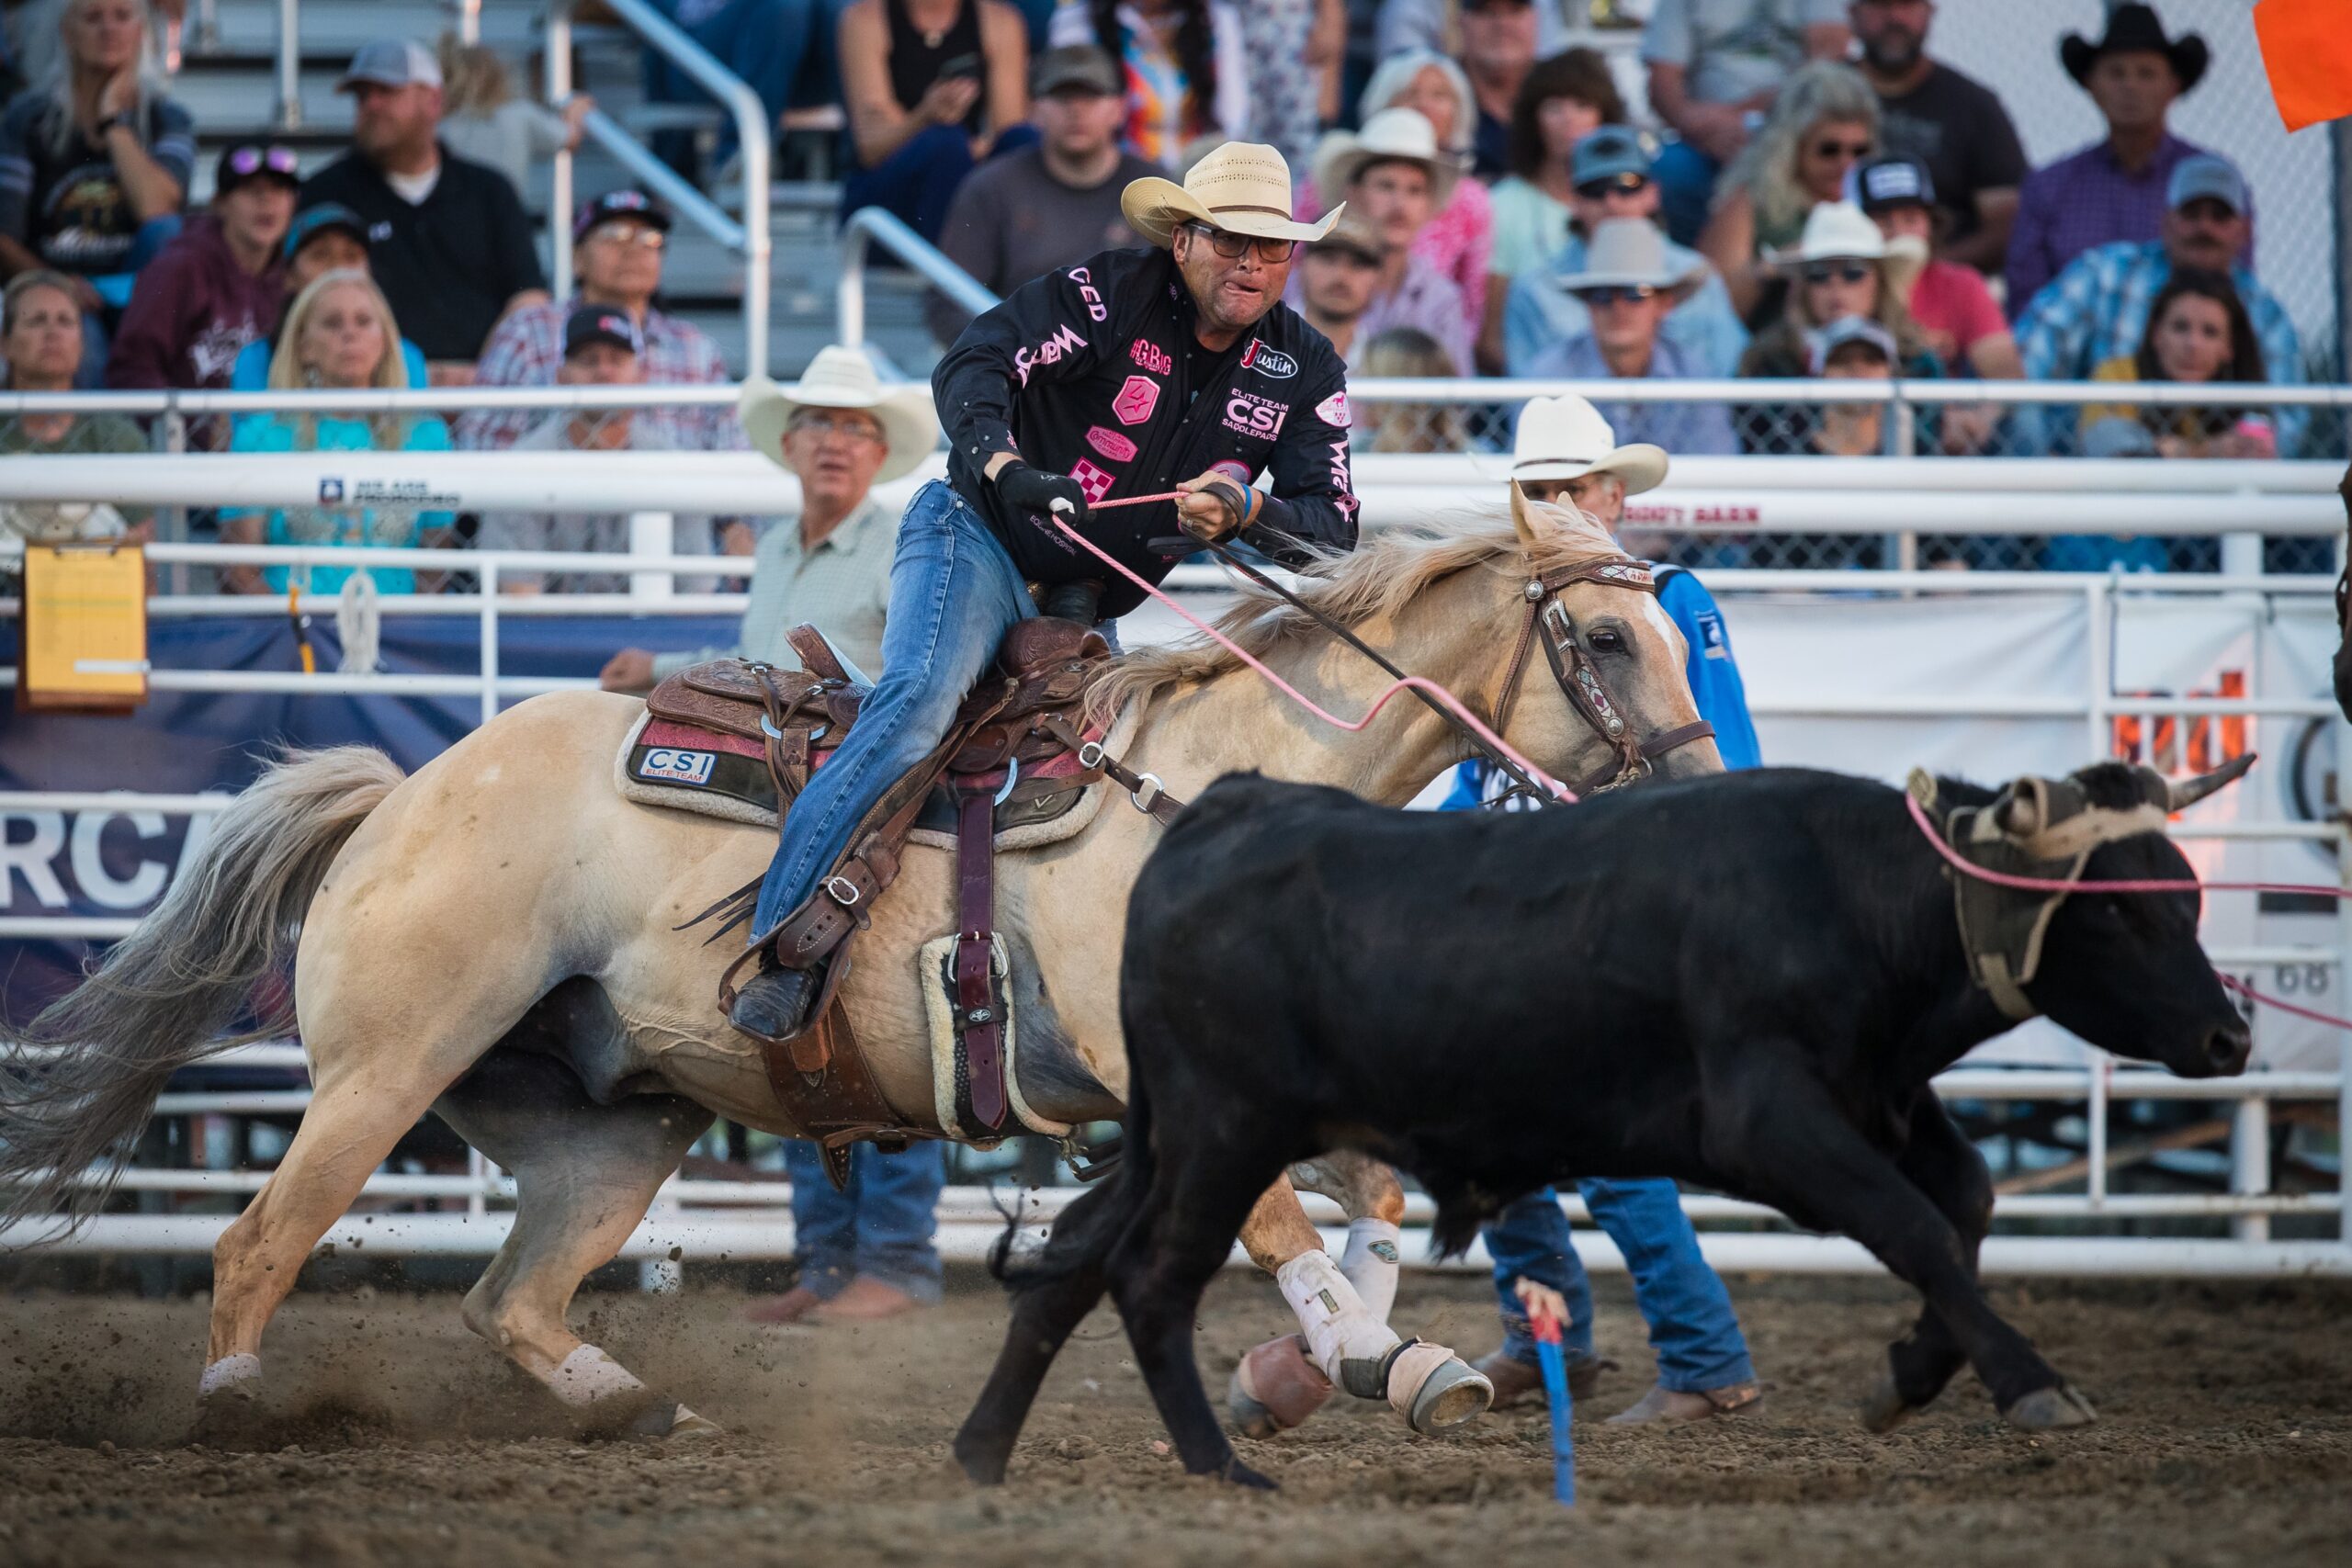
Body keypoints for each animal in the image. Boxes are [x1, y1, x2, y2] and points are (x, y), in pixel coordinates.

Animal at [5, 495, 1731, 1438]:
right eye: (1606, 638)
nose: (1703, 793)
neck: (1204, 790)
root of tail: (400, 792)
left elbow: (1361, 1191)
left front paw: (1374, 1361)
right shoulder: (1157, 1079)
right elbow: (1278, 1220)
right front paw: (1368, 1352)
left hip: (604, 1127)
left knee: (510, 1299)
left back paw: (641, 1406)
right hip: (387, 1070)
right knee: (258, 1243)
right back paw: (239, 1414)